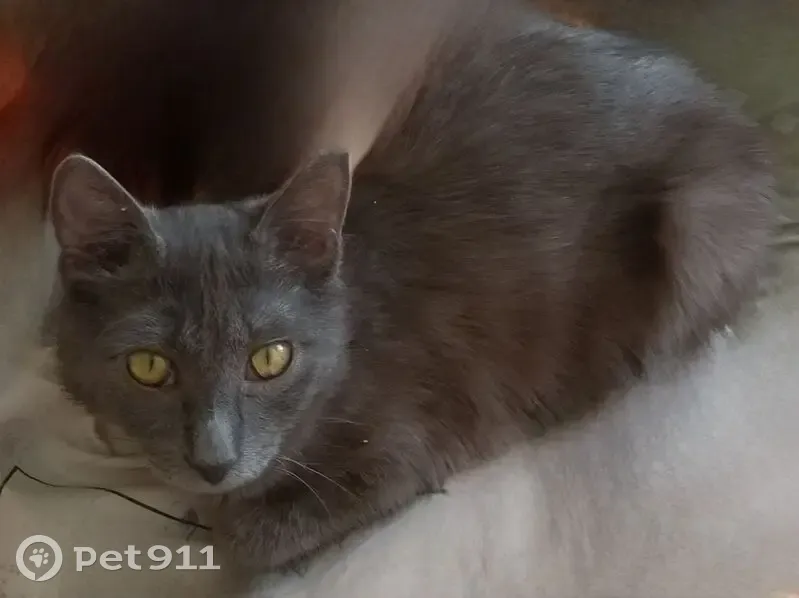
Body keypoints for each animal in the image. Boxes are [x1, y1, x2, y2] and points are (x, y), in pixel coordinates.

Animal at [47, 10, 775, 574]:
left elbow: (257, 536)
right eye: (149, 367)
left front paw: (220, 516)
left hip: (698, 228)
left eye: (270, 359)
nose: (214, 462)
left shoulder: (414, 437)